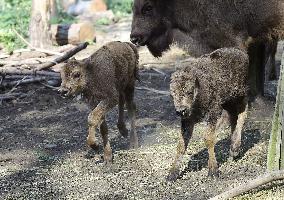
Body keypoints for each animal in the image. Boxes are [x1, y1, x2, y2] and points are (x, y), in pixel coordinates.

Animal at [169, 47, 248, 180]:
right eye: (172, 94)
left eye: (189, 92)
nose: (181, 110)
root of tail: (241, 52)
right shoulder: (187, 120)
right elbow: (181, 144)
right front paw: (172, 174)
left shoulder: (213, 112)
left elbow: (208, 138)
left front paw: (213, 171)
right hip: (227, 102)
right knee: (233, 117)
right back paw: (233, 150)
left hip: (238, 94)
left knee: (243, 111)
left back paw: (235, 148)